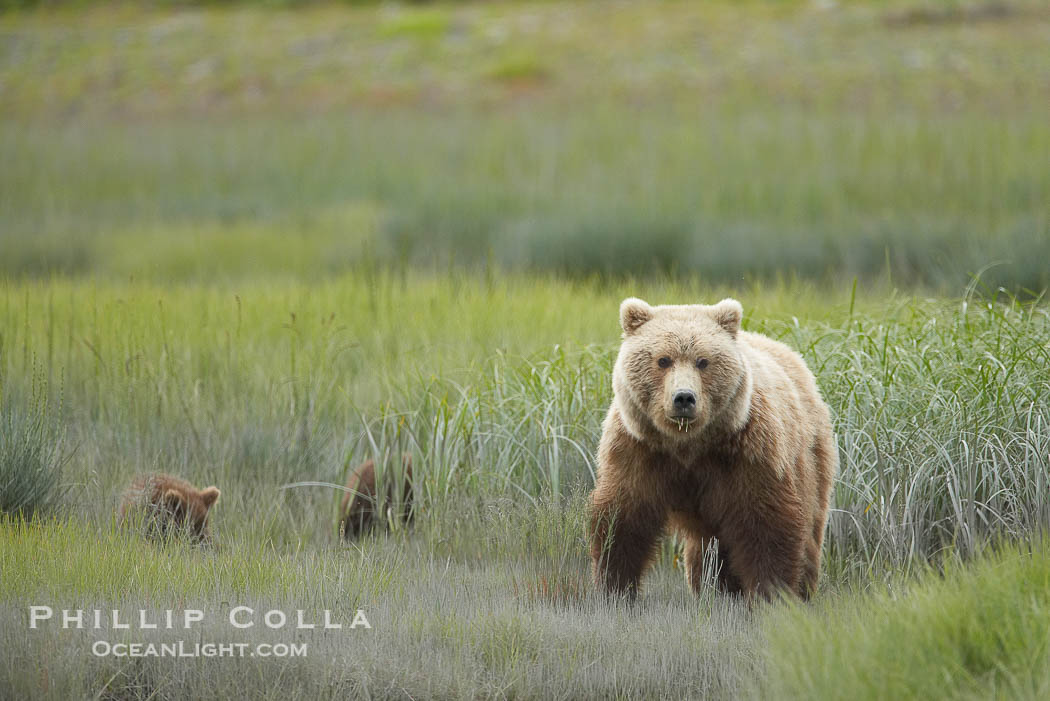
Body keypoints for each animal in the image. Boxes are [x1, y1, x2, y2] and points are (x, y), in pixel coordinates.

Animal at [588, 297, 837, 602]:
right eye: (663, 360)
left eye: (702, 361)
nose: (684, 398)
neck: (688, 445)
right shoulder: (638, 449)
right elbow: (623, 519)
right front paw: (614, 588)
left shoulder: (748, 453)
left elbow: (766, 524)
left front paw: (770, 594)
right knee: (706, 549)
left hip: (810, 457)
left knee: (810, 527)